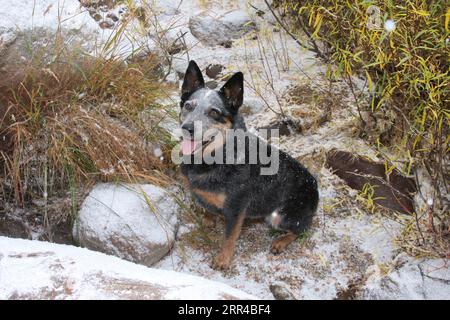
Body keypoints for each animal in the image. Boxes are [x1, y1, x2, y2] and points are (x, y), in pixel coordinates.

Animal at [178, 60, 318, 270]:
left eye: (214, 112)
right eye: (188, 106)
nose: (187, 128)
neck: (215, 159)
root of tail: (315, 186)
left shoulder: (236, 208)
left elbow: (229, 237)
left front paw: (223, 260)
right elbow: (207, 207)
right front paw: (209, 219)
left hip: (280, 215)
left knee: (301, 229)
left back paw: (280, 242)